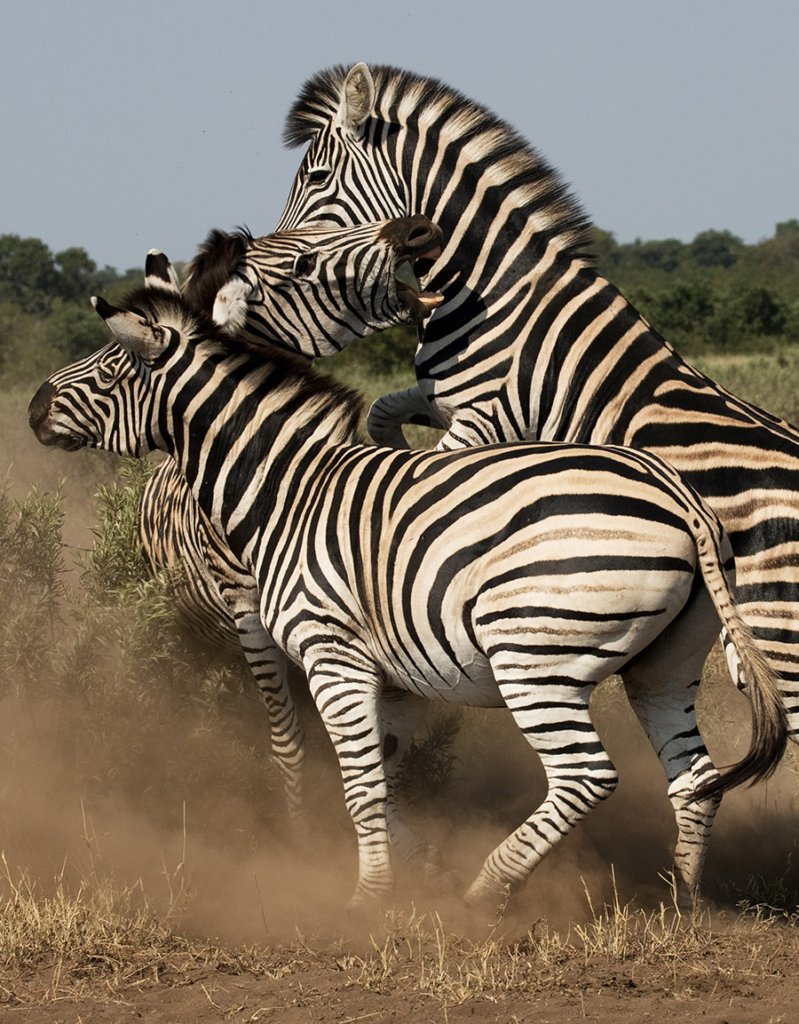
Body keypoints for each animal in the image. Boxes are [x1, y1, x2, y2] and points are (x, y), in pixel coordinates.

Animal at [28, 263, 786, 911]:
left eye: (110, 366)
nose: (33, 406)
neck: (286, 493)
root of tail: (678, 494)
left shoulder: (331, 654)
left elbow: (361, 786)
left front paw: (369, 898)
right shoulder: (389, 676)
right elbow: (386, 779)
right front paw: (418, 867)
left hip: (533, 655)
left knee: (584, 776)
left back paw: (487, 891)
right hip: (663, 665)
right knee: (694, 779)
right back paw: (679, 897)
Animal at [271, 61, 799, 742]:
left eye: (315, 178)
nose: (289, 259)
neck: (496, 287)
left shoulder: (484, 415)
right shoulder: (446, 396)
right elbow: (384, 410)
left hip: (782, 629)